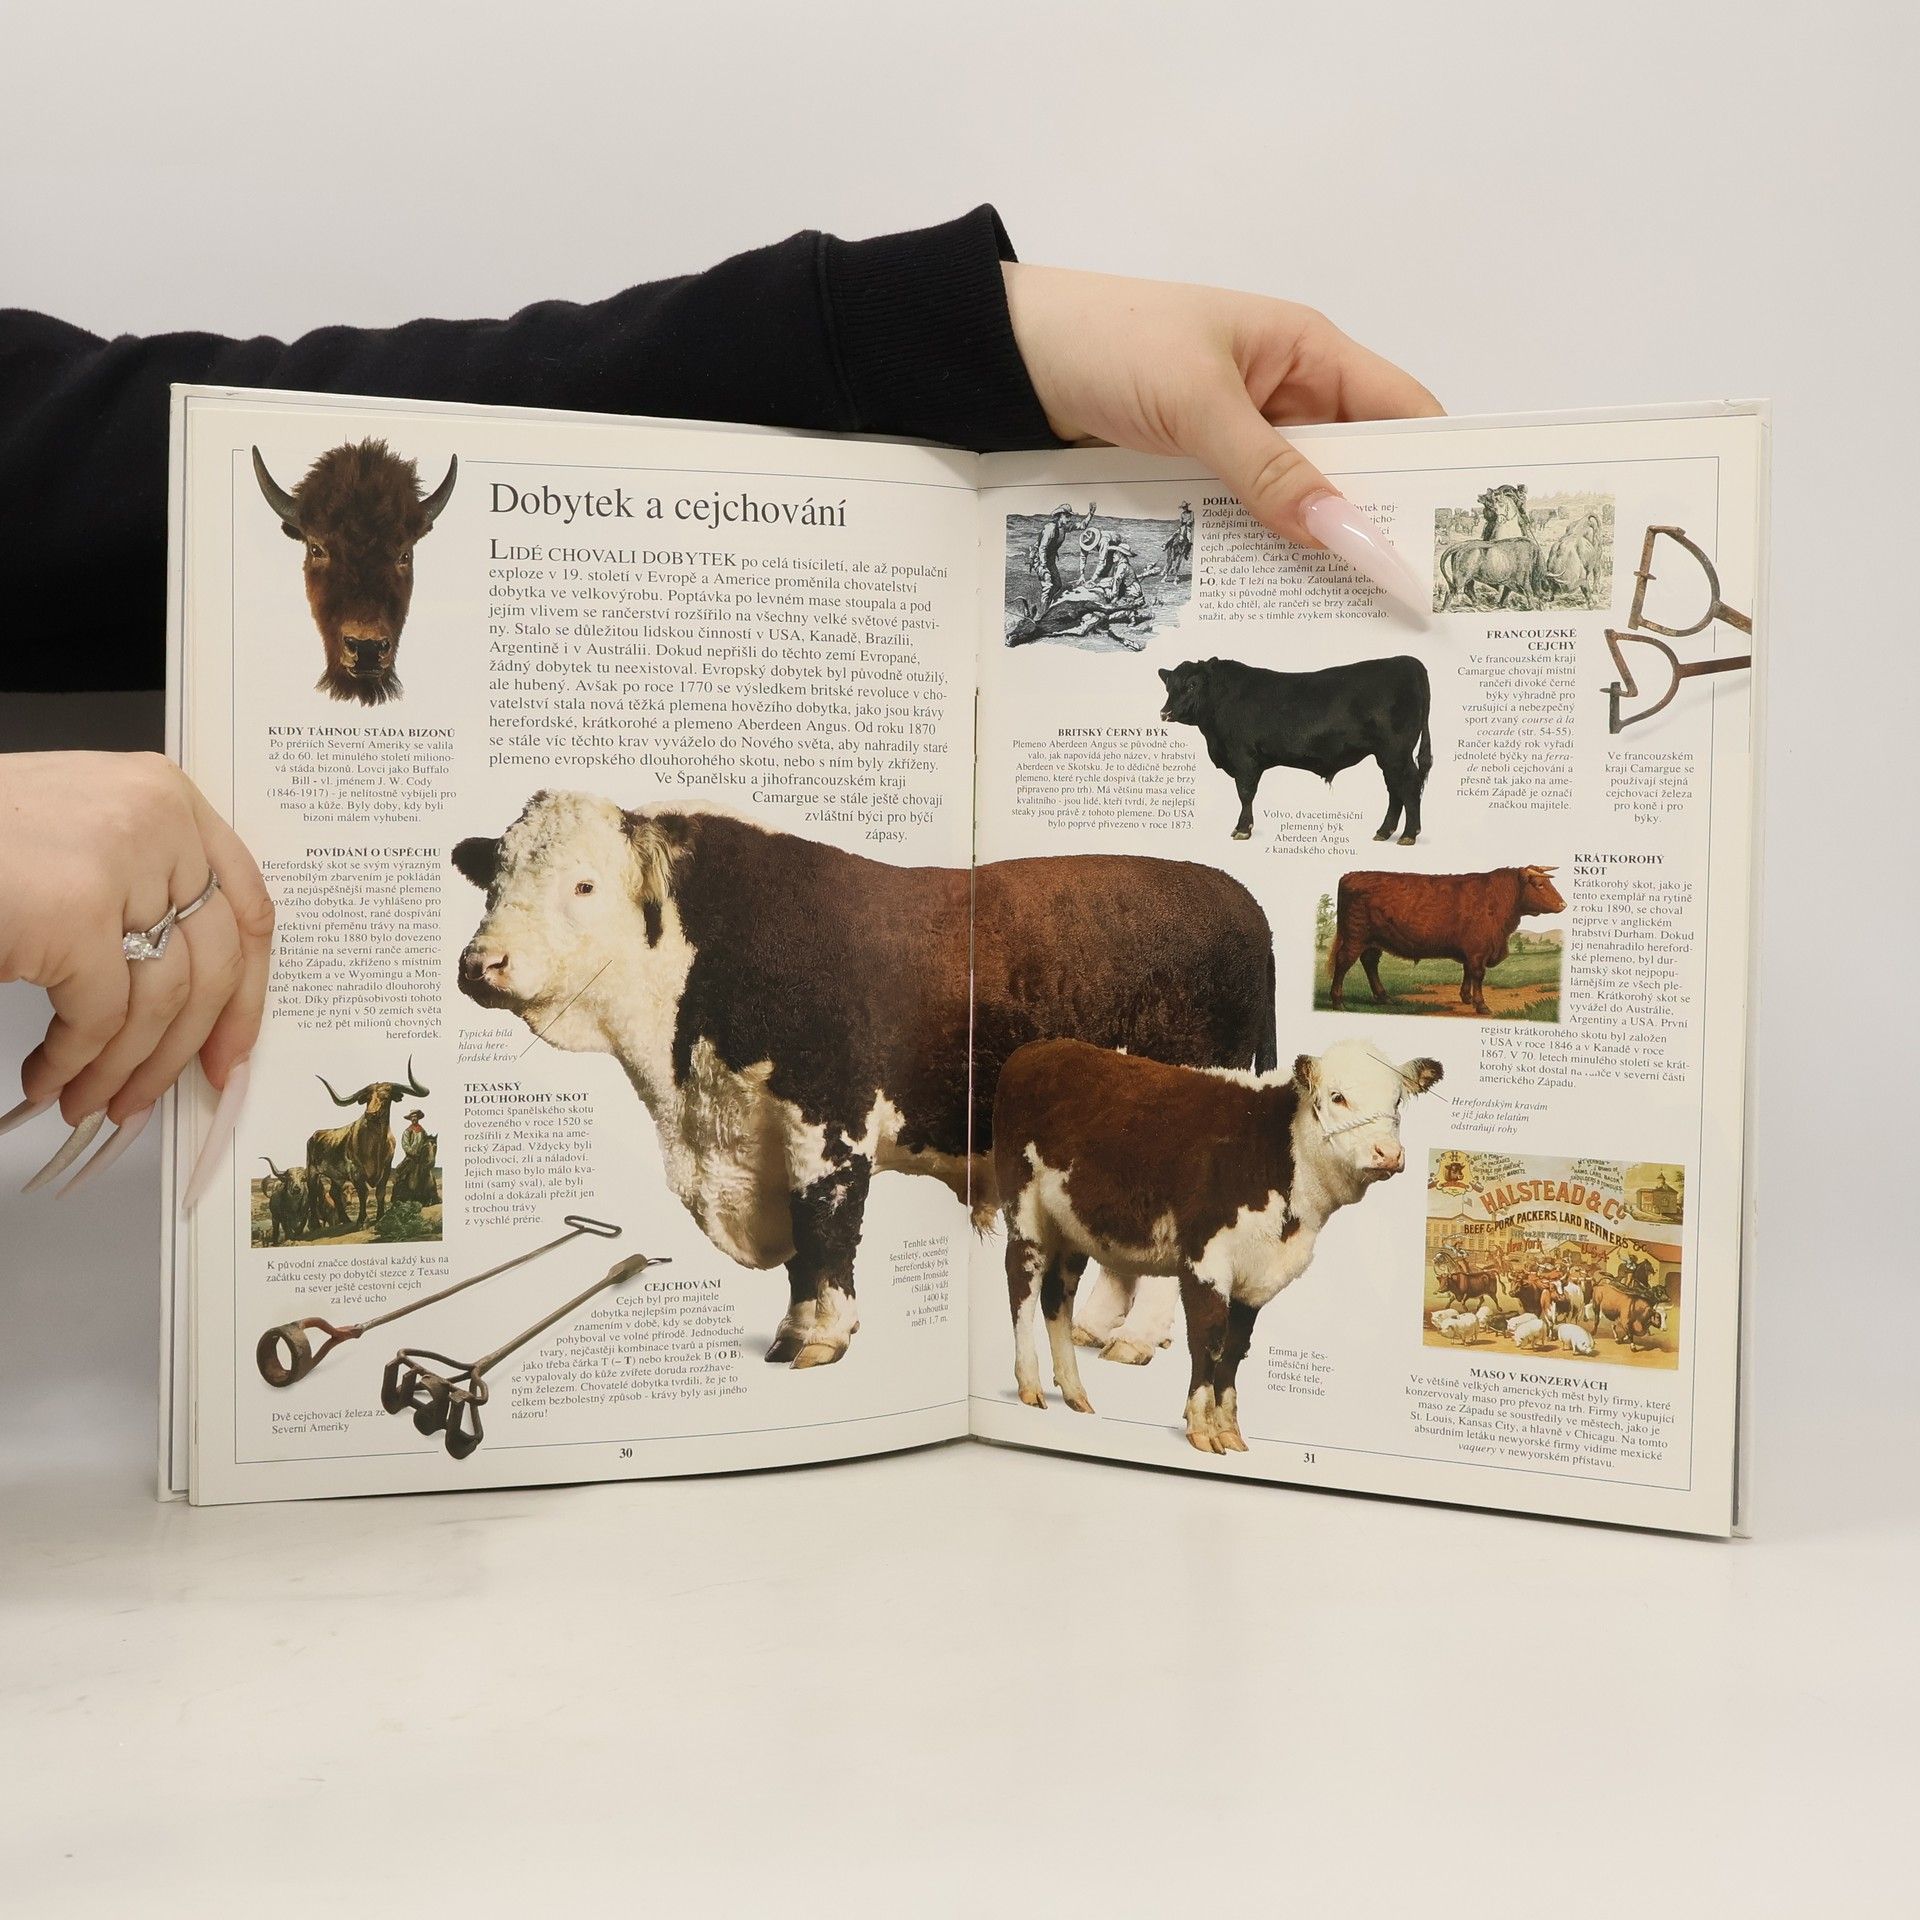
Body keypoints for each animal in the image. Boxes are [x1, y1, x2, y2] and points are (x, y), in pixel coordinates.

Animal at [306, 1059, 430, 1232]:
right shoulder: (356, 1171)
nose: (370, 1114)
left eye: (386, 1097)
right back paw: (316, 1225)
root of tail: (315, 1135)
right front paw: (361, 1221)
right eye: (368, 1098)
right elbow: (363, 1193)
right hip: (312, 1171)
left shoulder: (386, 1168)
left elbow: (380, 1192)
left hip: (337, 1176)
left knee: (334, 1192)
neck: (376, 1145)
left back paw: (345, 1219)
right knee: (312, 1194)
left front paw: (380, 1217)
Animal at [453, 792, 1277, 1370]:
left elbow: (824, 1231)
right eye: (494, 880)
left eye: (584, 885)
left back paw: (1137, 1338)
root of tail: (1231, 894)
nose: (480, 964)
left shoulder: (828, 1122)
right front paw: (790, 1332)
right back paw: (1097, 1328)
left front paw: (824, 1336)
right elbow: (798, 1253)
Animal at [993, 1036, 1440, 1452]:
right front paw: (1201, 1427)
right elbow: (1207, 1340)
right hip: (1025, 1207)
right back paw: (1029, 1383)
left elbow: (1235, 1349)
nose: (1388, 1153)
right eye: (1337, 1097)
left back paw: (1074, 1391)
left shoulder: (1258, 1277)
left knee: (1057, 1295)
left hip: (1071, 1226)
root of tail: (1038, 1048)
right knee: (1022, 1281)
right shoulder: (1205, 1257)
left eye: (1397, 1100)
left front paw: (1228, 1428)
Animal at [1158, 654, 1435, 845]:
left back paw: (1409, 835)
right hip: (1388, 755)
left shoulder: (1244, 758)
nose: (1165, 713)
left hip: (1396, 752)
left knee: (1408, 786)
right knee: (1394, 788)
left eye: (1192, 685)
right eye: (1168, 686)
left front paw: (1243, 829)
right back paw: (1384, 831)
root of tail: (1407, 661)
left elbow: (1245, 793)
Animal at [1329, 865, 1566, 1016]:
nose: (1563, 905)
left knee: (1370, 963)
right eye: (1539, 885)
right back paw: (1338, 1001)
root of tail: (1351, 875)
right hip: (1355, 936)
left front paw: (1466, 997)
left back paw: (1383, 997)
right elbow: (1478, 974)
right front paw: (1481, 1005)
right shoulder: (1478, 950)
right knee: (1343, 963)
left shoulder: (1473, 951)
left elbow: (1468, 972)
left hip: (1373, 941)